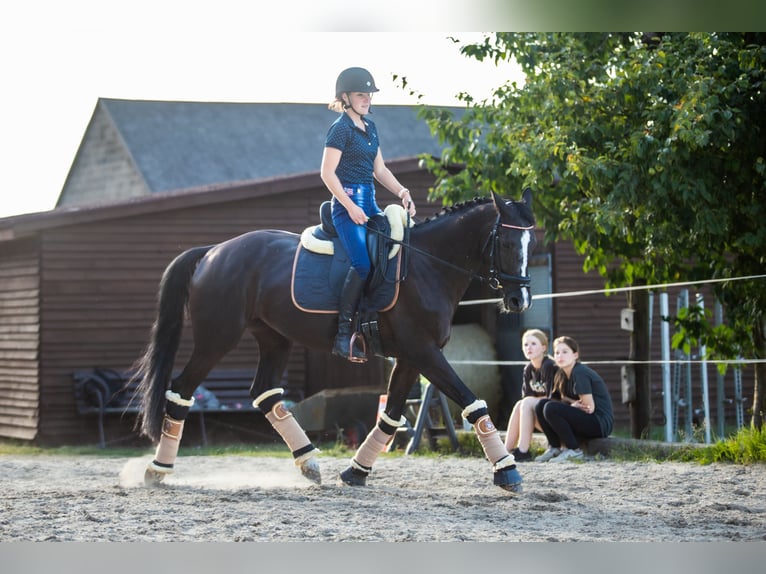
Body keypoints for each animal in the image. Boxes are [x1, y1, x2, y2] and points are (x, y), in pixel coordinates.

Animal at [134, 189, 536, 496]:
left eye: (531, 242)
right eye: (506, 241)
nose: (520, 300)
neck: (426, 266)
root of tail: (213, 250)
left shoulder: (411, 358)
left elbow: (390, 416)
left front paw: (356, 471)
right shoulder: (424, 352)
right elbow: (472, 403)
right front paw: (507, 470)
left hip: (274, 338)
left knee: (265, 394)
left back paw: (309, 462)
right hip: (217, 339)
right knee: (180, 390)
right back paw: (157, 469)